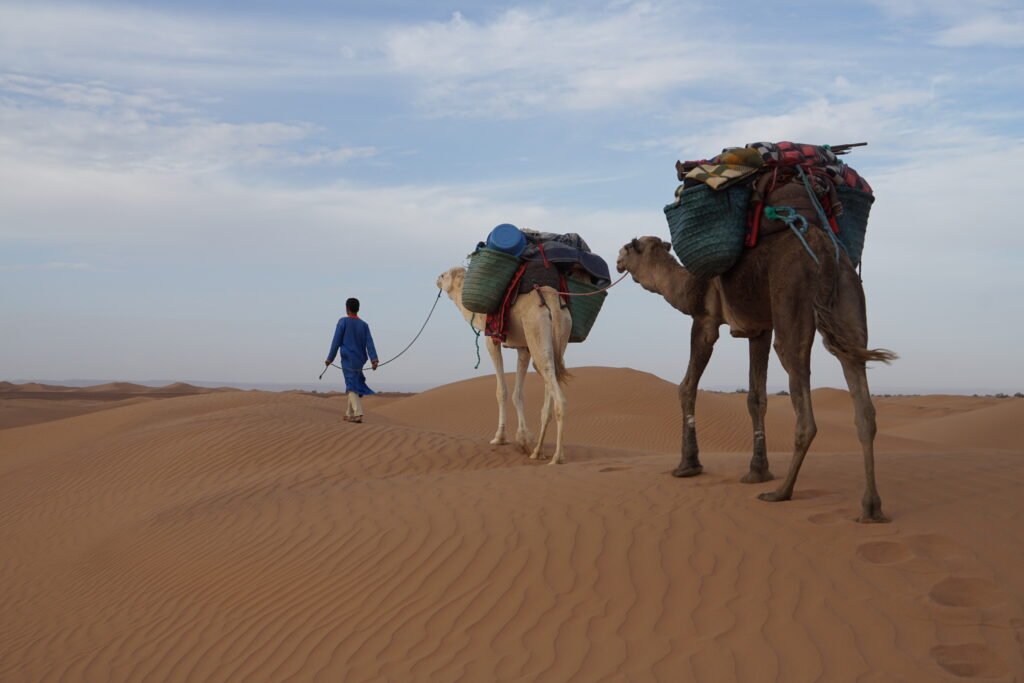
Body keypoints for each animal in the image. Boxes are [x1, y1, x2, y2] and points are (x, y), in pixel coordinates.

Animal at [436, 266, 573, 464]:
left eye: (444, 275)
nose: (437, 280)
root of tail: (553, 303)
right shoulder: (523, 348)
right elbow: (518, 394)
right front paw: (524, 438)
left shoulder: (491, 338)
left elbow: (502, 391)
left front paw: (500, 438)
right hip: (560, 334)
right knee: (551, 375)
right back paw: (538, 451)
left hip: (536, 329)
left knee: (556, 392)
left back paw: (556, 457)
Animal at [614, 229, 897, 524]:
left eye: (629, 247)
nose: (617, 261)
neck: (688, 284)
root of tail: (825, 250)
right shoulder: (759, 329)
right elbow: (756, 397)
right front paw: (757, 471)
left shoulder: (705, 319)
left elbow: (686, 386)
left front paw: (687, 465)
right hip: (849, 300)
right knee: (863, 402)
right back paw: (871, 508)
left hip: (792, 299)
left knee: (804, 406)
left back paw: (781, 492)